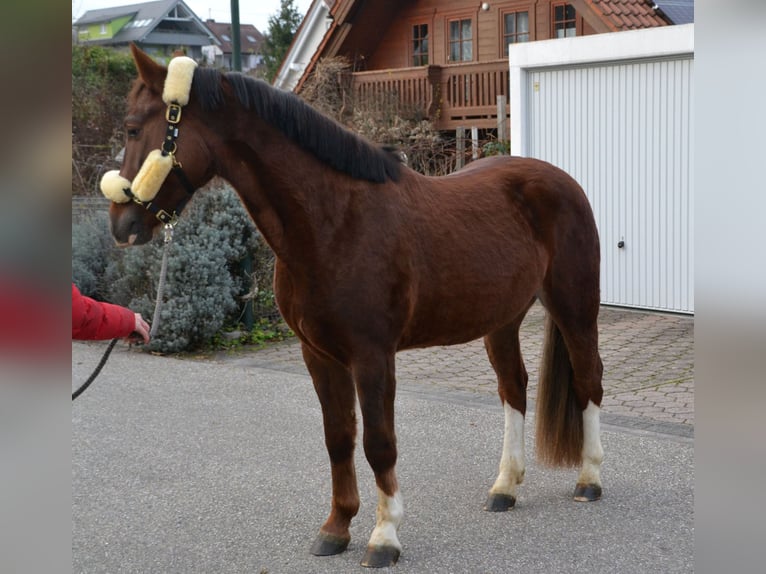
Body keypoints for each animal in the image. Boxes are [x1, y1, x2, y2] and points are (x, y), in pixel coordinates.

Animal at [101, 45, 604, 568]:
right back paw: (505, 487)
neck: (333, 221)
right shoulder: (319, 355)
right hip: (501, 320)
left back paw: (589, 479)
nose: (122, 224)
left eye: (134, 128)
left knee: (589, 379)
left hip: (575, 307)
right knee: (514, 389)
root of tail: (560, 180)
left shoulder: (372, 356)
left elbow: (379, 443)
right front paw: (336, 527)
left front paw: (384, 535)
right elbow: (338, 439)